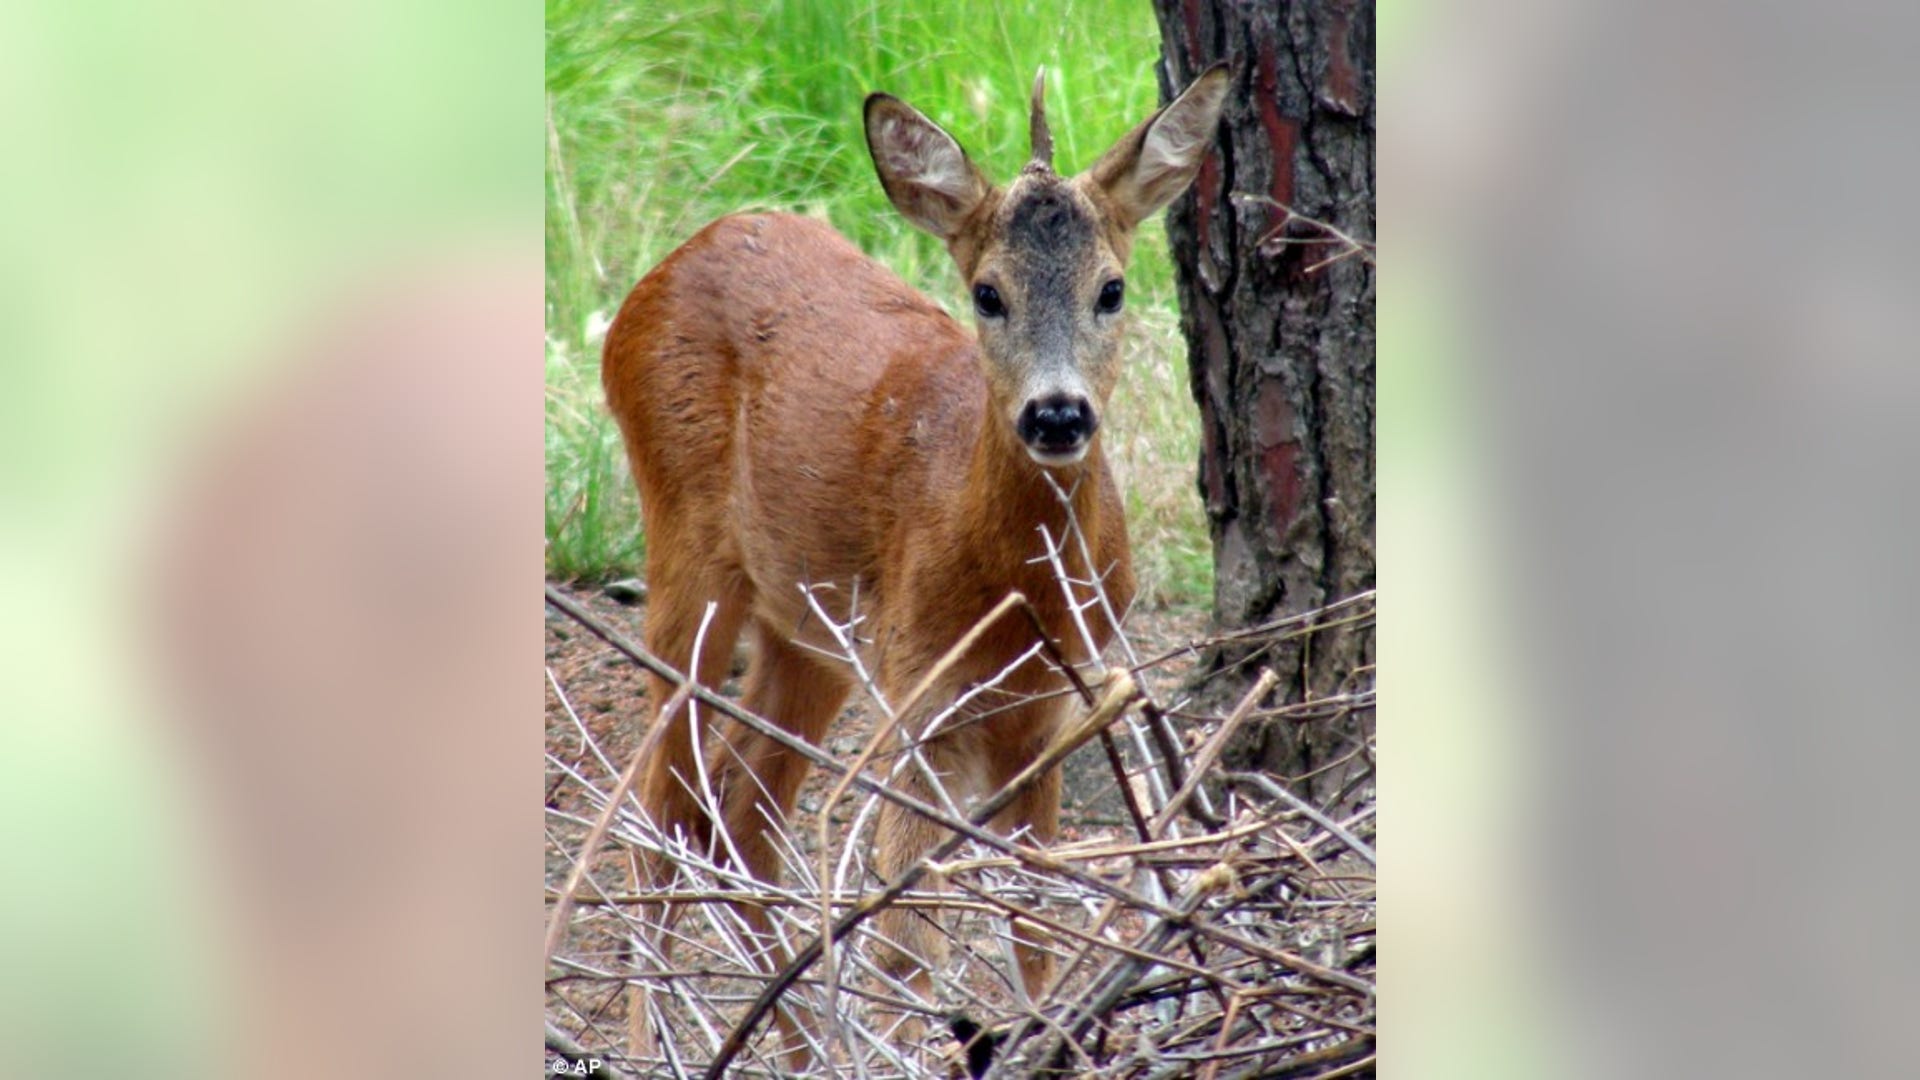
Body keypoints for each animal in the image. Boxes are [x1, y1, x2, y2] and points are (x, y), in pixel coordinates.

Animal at [601, 64, 1229, 1065]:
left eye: (1112, 289)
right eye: (987, 293)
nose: (1058, 415)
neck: (1019, 589)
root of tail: (654, 278)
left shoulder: (1057, 705)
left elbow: (1037, 914)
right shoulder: (917, 692)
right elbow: (905, 938)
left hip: (808, 629)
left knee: (739, 809)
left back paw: (799, 1045)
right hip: (688, 556)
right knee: (658, 809)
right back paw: (655, 1039)